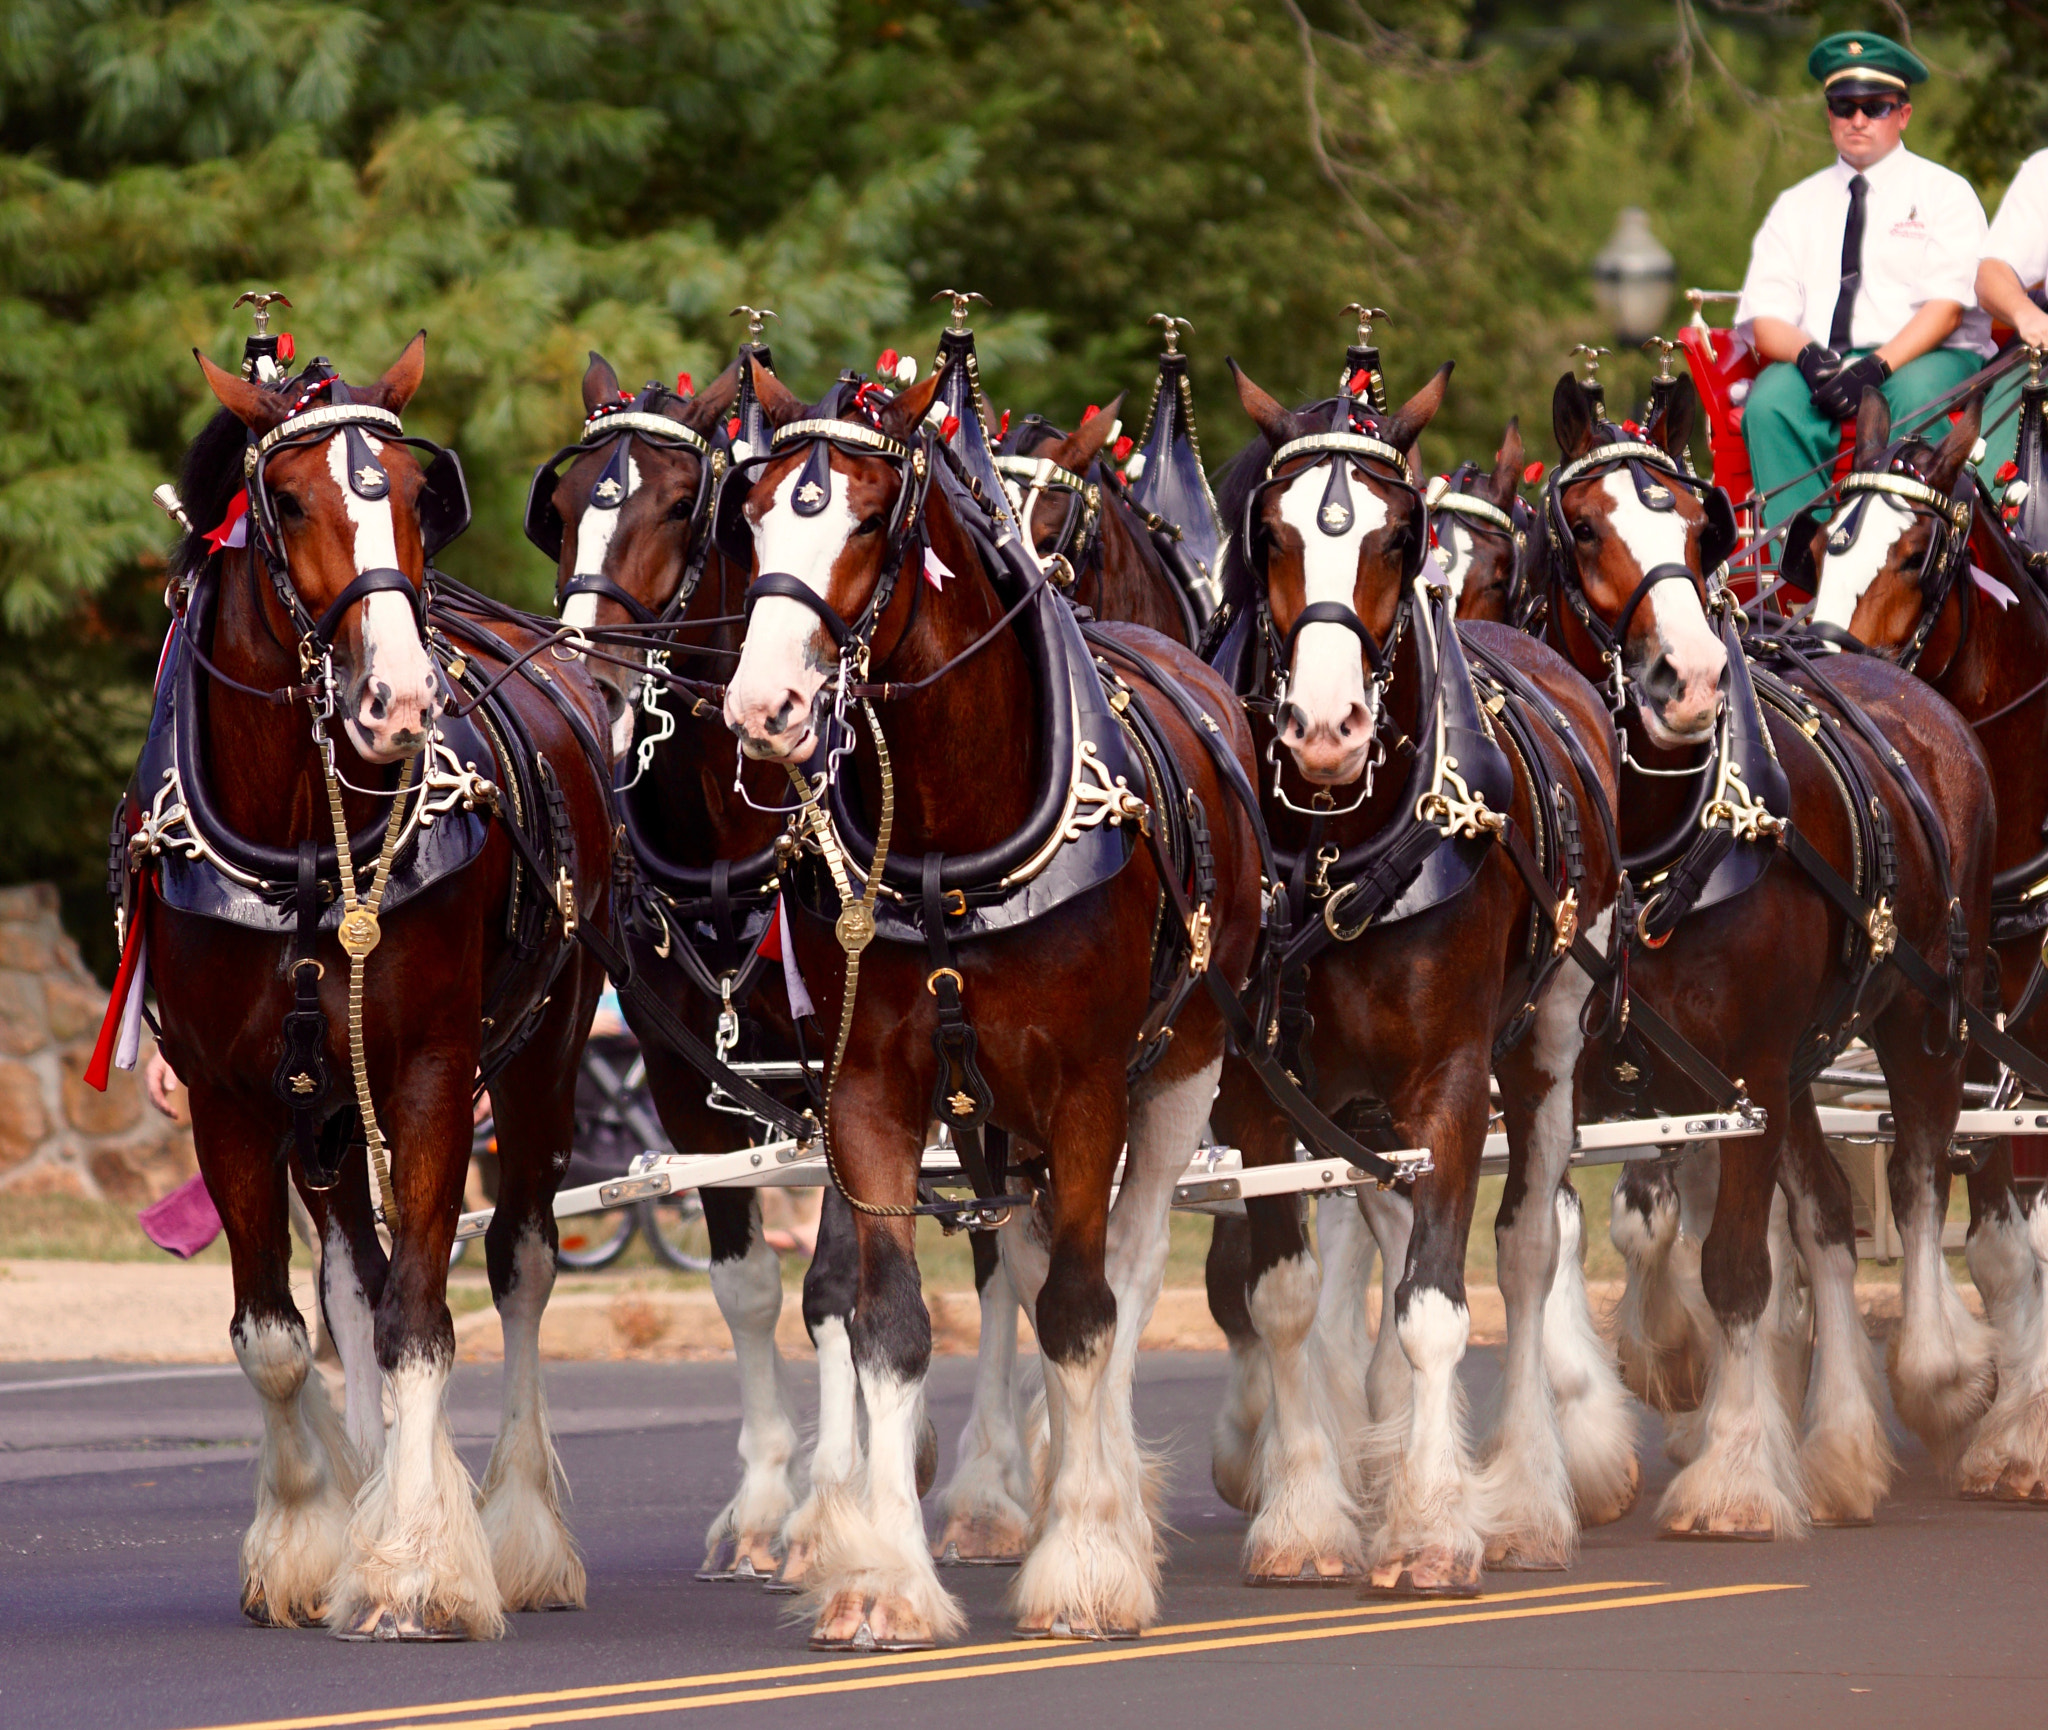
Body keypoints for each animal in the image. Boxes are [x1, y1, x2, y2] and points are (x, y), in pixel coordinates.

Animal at [138, 333, 614, 1629]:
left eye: (413, 492)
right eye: (290, 501)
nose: (399, 698)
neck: (306, 844)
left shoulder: (434, 1074)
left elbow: (419, 1320)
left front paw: (413, 1560)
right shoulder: (227, 1093)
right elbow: (275, 1331)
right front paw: (311, 1538)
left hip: (545, 1055)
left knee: (520, 1264)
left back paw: (521, 1528)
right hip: (324, 1105)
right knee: (347, 1276)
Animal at [716, 358, 1261, 1637]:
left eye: (869, 520)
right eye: (751, 513)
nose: (762, 709)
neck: (947, 837)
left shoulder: (1085, 1092)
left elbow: (1081, 1310)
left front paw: (1085, 1556)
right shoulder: (869, 1090)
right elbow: (891, 1325)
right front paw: (881, 1576)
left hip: (1178, 1072)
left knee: (1125, 1268)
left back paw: (1102, 1495)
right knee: (1023, 1261)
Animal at [1196, 364, 1630, 1596]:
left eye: (1398, 535)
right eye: (1273, 534)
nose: (1326, 728)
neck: (1334, 848)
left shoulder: (1446, 1081)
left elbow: (1440, 1304)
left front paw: (1435, 1526)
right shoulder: (1260, 1097)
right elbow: (1286, 1296)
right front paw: (1305, 1515)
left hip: (1546, 1052)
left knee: (1527, 1252)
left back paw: (1526, 1490)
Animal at [1540, 374, 1990, 1523]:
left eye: (1699, 529)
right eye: (1581, 524)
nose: (1691, 678)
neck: (1653, 840)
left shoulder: (1743, 1070)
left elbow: (1738, 1268)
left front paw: (1737, 1473)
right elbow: (1555, 1237)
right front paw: (1586, 1440)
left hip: (1922, 1014)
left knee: (1920, 1173)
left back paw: (1939, 1374)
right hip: (1801, 1061)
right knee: (1828, 1214)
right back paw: (1838, 1442)